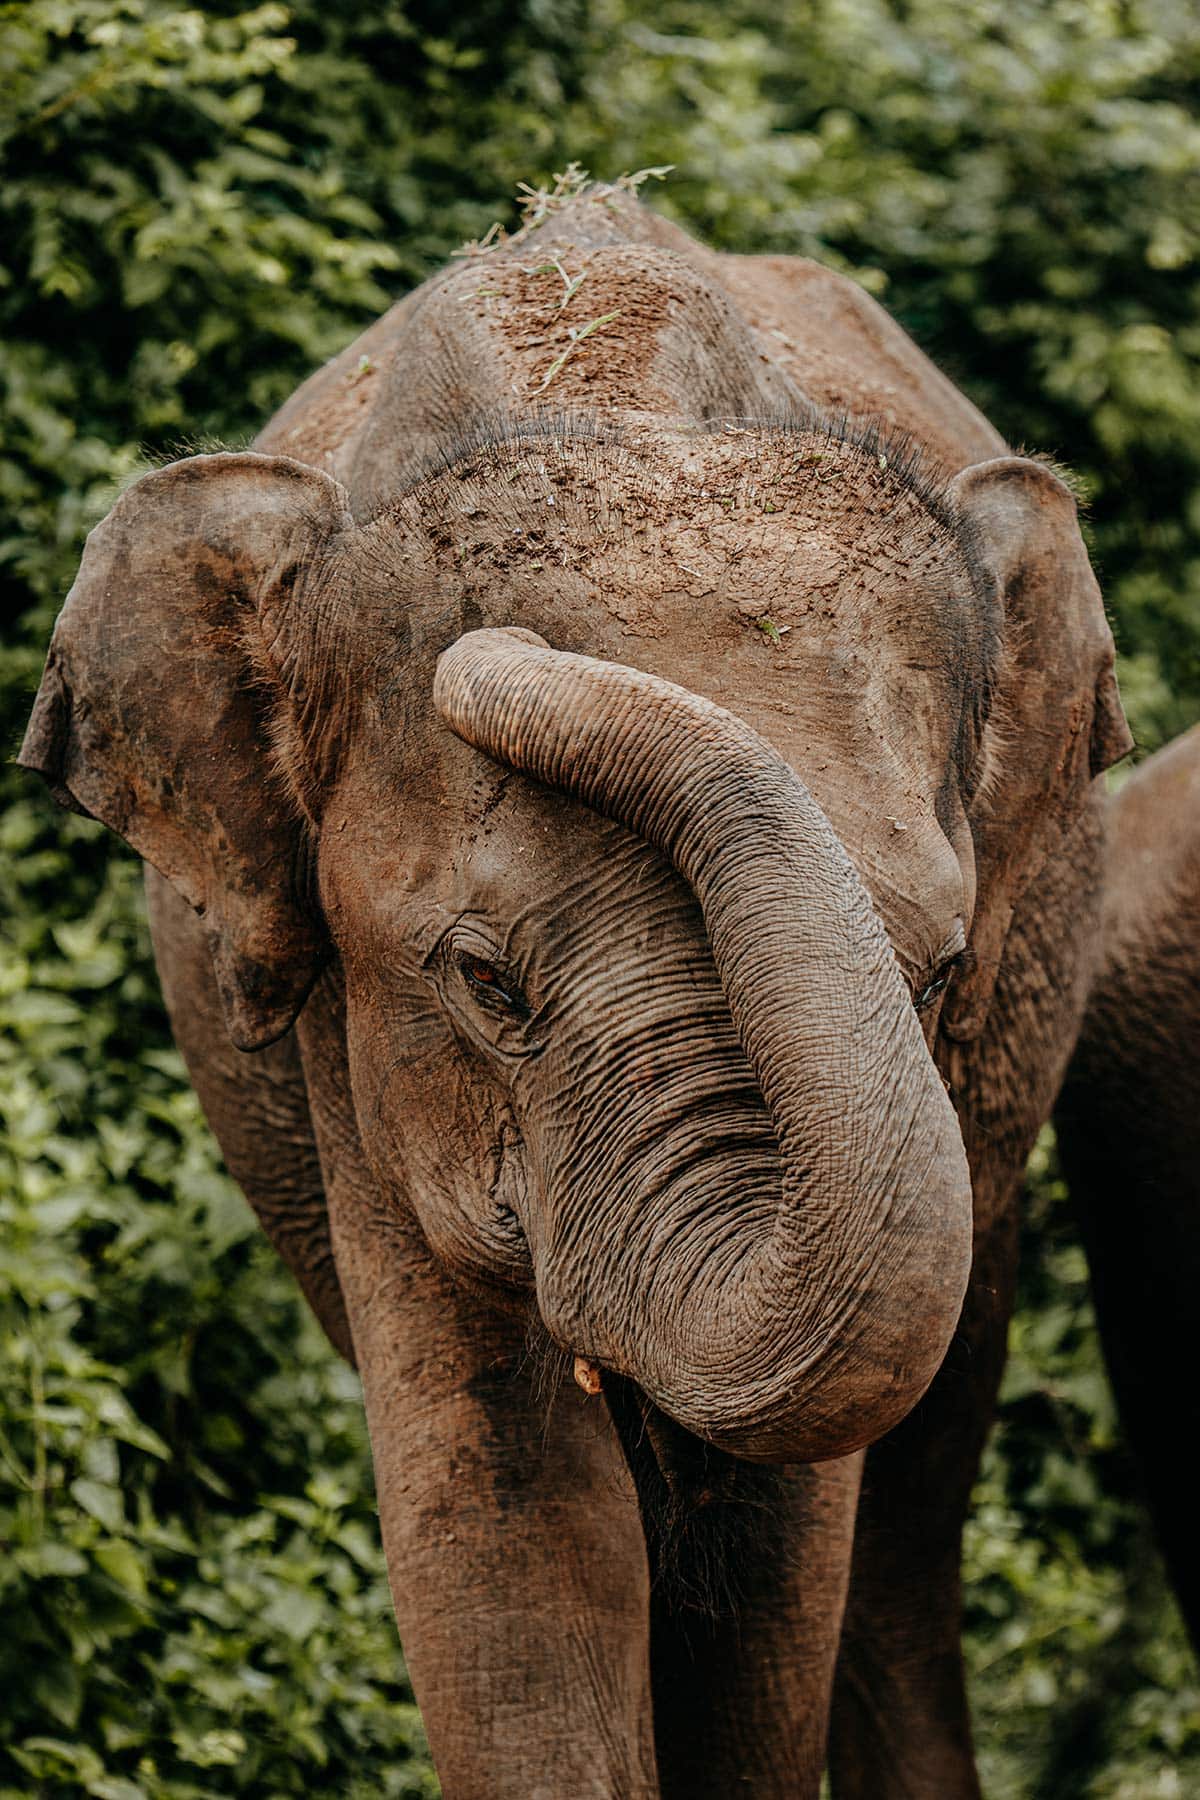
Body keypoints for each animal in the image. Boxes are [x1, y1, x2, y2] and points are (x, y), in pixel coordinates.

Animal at [21, 184, 1132, 1798]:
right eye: (486, 983)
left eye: (936, 974)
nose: (496, 653)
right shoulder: (346, 1042)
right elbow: (512, 1525)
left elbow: (780, 1552)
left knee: (911, 1522)